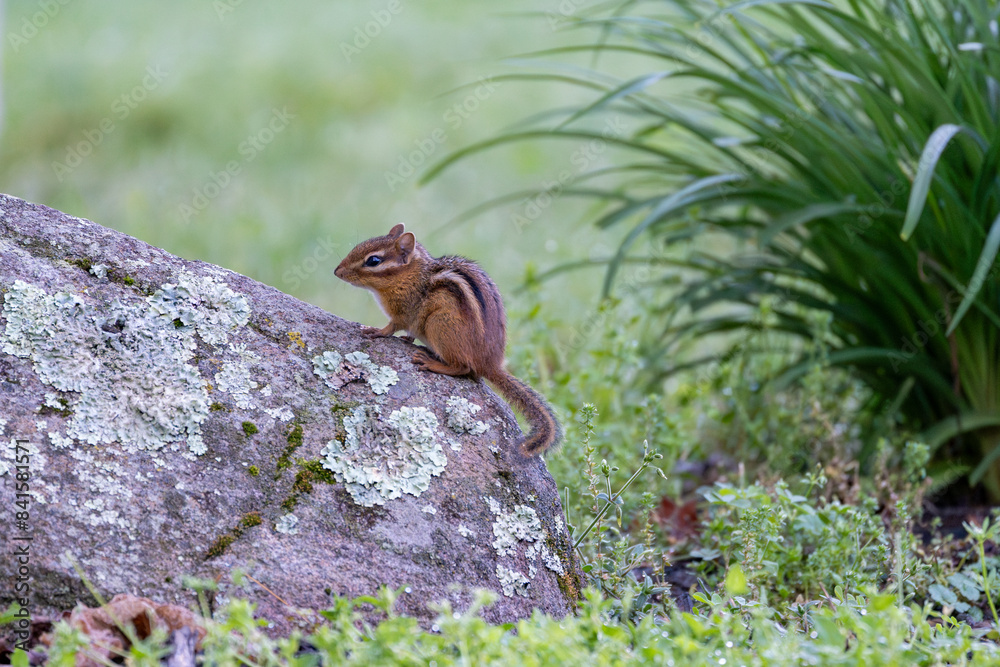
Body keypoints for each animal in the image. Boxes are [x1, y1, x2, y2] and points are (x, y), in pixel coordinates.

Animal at [334, 223, 561, 457]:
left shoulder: (403, 311)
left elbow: (391, 327)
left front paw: (375, 331)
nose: (337, 271)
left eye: (373, 261)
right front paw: (406, 338)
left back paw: (431, 362)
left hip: (438, 323)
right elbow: (408, 332)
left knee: (463, 367)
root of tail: (490, 364)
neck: (410, 275)